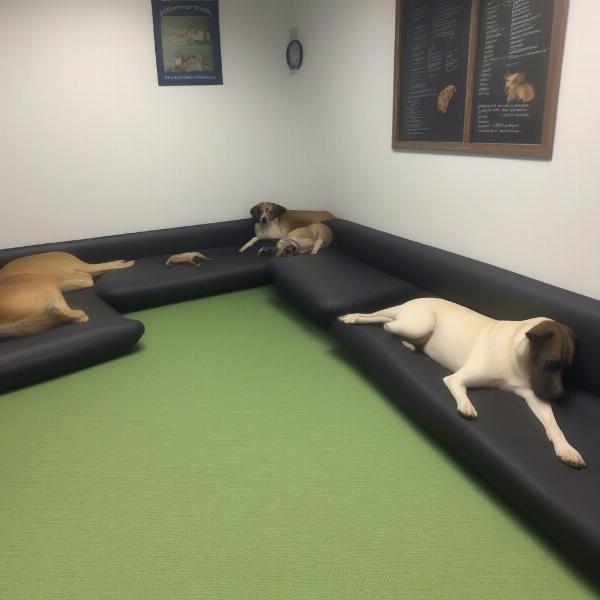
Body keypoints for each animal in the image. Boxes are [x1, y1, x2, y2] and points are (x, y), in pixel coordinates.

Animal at [340, 298, 584, 468]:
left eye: (567, 366)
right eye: (551, 363)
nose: (559, 394)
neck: (516, 352)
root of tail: (415, 300)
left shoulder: (532, 393)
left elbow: (553, 424)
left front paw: (566, 448)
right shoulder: (457, 378)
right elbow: (459, 387)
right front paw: (466, 406)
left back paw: (408, 344)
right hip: (420, 323)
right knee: (385, 322)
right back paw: (354, 318)